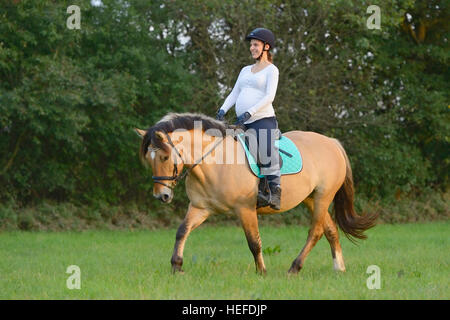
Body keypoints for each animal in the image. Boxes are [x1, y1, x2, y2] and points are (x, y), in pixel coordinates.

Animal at [135, 111, 378, 274]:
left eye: (165, 157)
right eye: (149, 158)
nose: (162, 196)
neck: (215, 162)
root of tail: (332, 143)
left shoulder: (245, 209)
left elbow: (254, 242)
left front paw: (262, 272)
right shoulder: (200, 208)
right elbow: (181, 231)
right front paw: (176, 266)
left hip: (323, 197)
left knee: (315, 232)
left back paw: (295, 267)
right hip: (311, 199)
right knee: (330, 230)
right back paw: (339, 268)